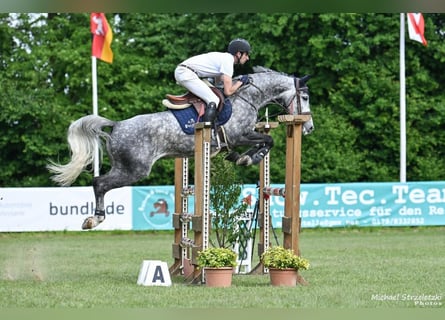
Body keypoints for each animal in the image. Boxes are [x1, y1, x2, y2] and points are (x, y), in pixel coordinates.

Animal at [47, 66, 312, 229]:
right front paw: (250, 158)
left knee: (100, 183)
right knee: (99, 183)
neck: (247, 98)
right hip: (134, 170)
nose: (309, 127)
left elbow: (253, 145)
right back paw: (95, 219)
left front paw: (241, 158)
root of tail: (117, 124)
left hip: (126, 167)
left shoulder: (232, 141)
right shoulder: (240, 135)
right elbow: (268, 141)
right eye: (306, 98)